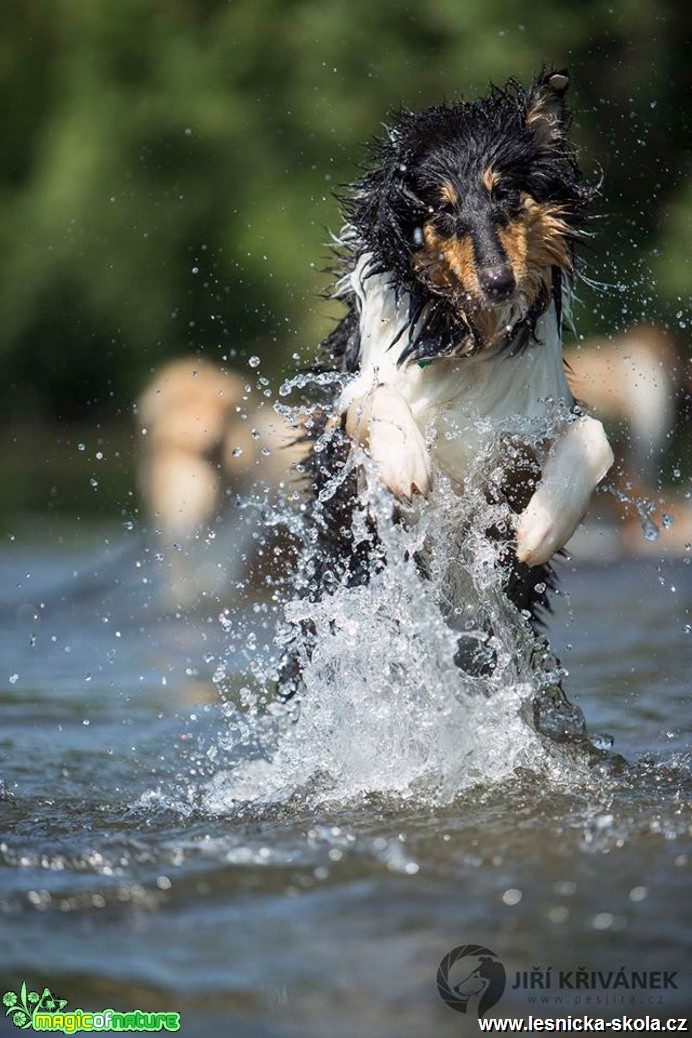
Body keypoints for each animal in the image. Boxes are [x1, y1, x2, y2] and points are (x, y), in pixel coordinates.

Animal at [278, 69, 614, 709]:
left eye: (504, 193)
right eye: (442, 209)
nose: (499, 282)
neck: (468, 340)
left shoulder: (537, 420)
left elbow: (592, 434)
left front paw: (540, 527)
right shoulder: (348, 425)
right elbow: (376, 399)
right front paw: (407, 461)